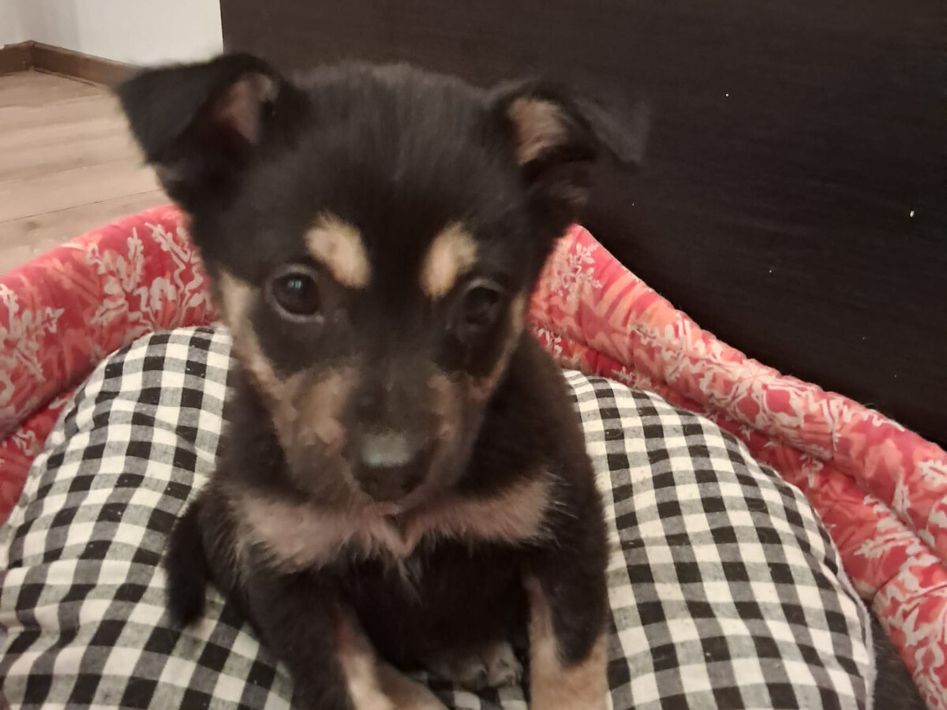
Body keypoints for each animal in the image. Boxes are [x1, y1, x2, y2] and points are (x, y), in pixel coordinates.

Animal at [118, 53, 641, 709]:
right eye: (297, 290)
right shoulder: (290, 578)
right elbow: (350, 680)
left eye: (481, 301)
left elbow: (568, 672)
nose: (391, 472)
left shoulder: (568, 535)